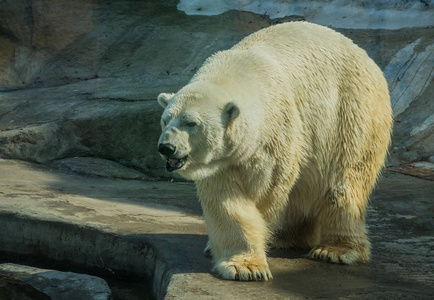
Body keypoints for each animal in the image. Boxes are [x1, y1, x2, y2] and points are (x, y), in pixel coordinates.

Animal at [157, 21, 394, 282]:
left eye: (191, 123)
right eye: (165, 120)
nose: (166, 147)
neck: (240, 70)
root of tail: (366, 57)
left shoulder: (274, 135)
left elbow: (265, 190)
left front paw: (247, 267)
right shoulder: (223, 160)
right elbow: (226, 200)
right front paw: (243, 265)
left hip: (351, 114)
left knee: (344, 182)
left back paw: (336, 250)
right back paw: (287, 236)